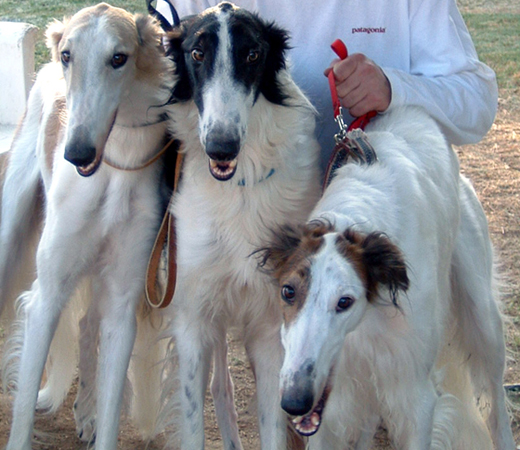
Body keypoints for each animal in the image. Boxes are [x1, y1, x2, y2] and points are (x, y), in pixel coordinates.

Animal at [0, 4, 178, 450]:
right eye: (69, 55)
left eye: (119, 58)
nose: (77, 152)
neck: (113, 168)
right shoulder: (47, 295)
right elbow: (23, 413)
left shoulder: (123, 302)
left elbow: (112, 408)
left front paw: (97, 414)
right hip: (10, 237)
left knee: (85, 325)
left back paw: (85, 410)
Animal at [158, 1, 320, 448]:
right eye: (197, 53)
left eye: (253, 54)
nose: (221, 147)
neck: (238, 188)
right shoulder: (192, 316)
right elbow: (192, 421)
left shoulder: (270, 324)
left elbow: (272, 425)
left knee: (220, 385)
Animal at [260, 107, 516, 448]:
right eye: (288, 292)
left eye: (345, 301)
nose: (293, 402)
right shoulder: (340, 394)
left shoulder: (414, 393)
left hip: (483, 318)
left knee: (496, 402)